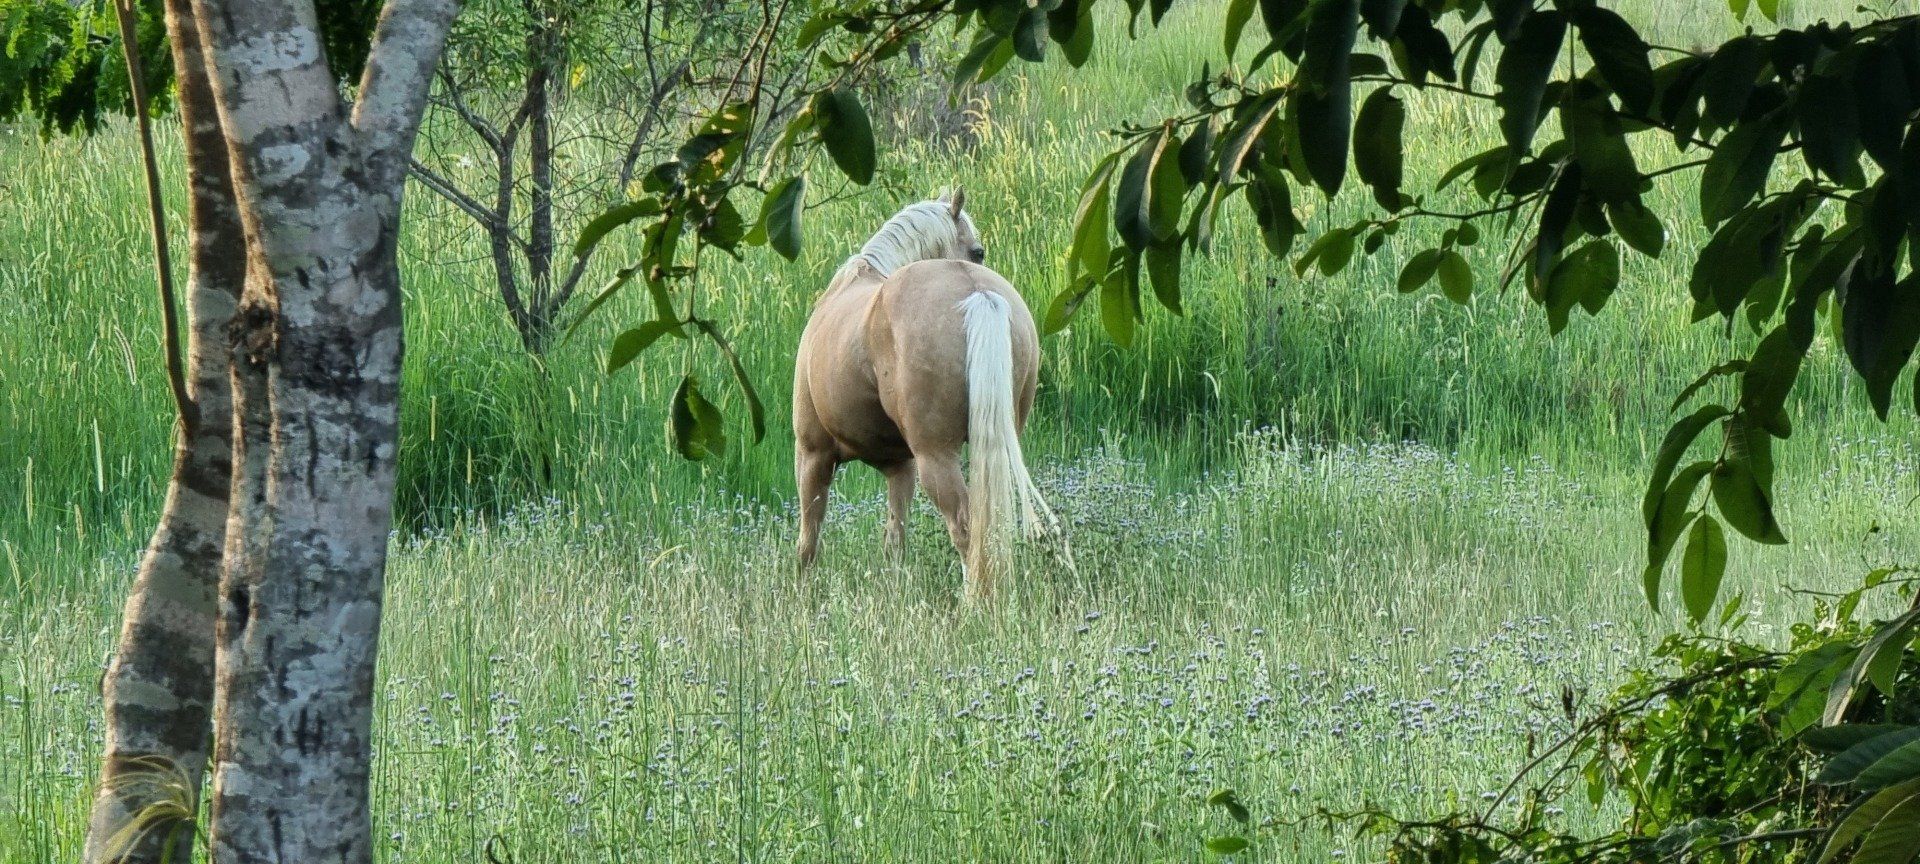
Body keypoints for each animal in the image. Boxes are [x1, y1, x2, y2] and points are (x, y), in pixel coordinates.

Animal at [792, 191, 1057, 603]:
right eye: (979, 250)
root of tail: (976, 293)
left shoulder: (812, 454)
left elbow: (808, 541)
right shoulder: (901, 467)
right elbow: (895, 540)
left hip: (937, 457)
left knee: (964, 528)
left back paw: (972, 603)